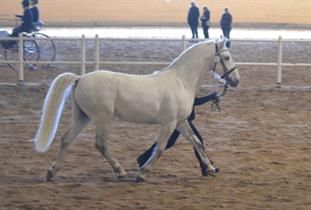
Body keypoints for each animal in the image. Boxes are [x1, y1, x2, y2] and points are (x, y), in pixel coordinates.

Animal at [33, 39, 239, 180]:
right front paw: (142, 173)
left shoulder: (180, 122)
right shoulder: (168, 123)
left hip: (82, 116)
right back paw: (120, 171)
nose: (236, 80)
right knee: (100, 144)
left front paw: (210, 168)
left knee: (66, 139)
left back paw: (52, 172)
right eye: (226, 57)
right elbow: (160, 148)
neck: (181, 81)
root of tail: (80, 78)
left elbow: (196, 142)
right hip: (102, 118)